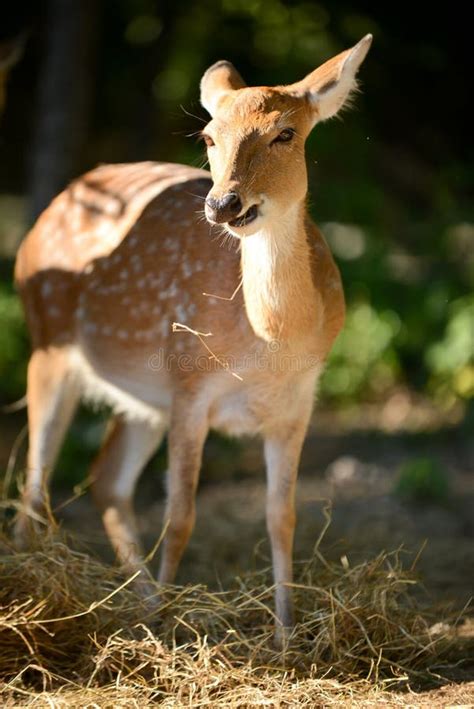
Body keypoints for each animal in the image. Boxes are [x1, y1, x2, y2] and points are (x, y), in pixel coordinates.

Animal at [13, 34, 370, 632]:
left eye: (286, 133)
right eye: (208, 137)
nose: (223, 202)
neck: (272, 342)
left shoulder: (296, 404)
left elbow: (282, 518)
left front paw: (287, 634)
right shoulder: (190, 385)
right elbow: (180, 516)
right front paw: (168, 626)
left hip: (141, 399)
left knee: (106, 479)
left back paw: (137, 599)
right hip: (49, 340)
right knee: (35, 480)